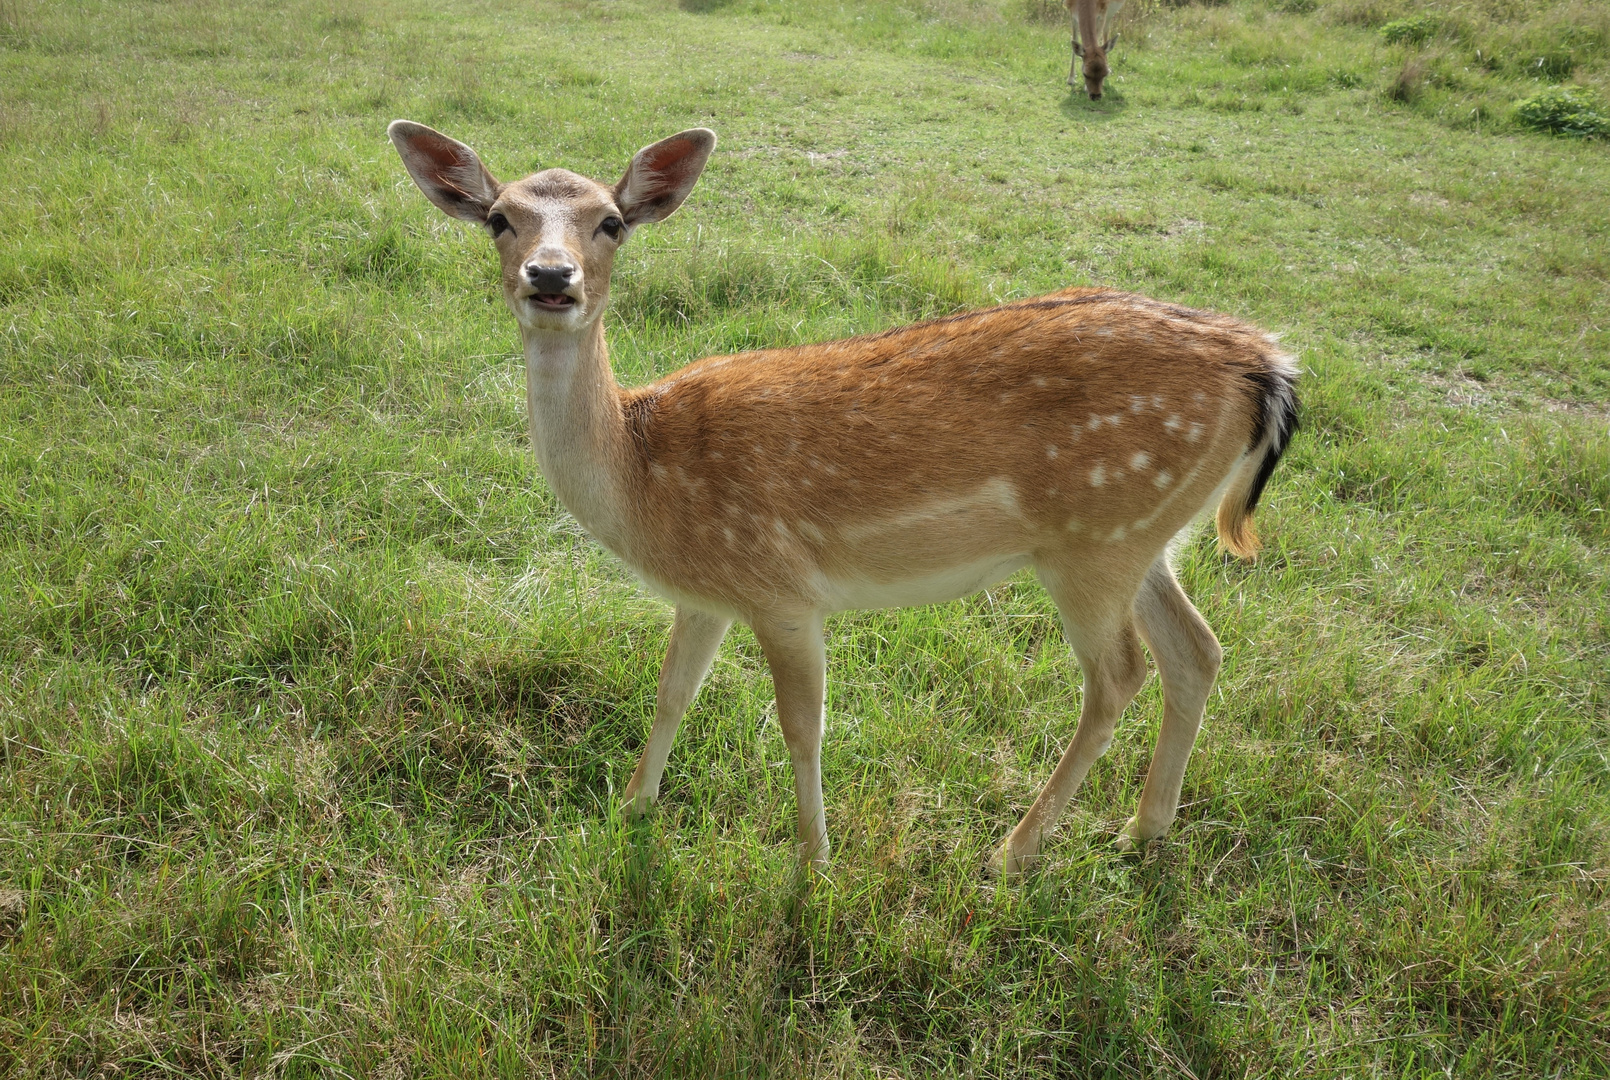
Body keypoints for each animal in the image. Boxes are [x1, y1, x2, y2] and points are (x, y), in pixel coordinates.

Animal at [386, 120, 1294, 875]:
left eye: (611, 221)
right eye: (498, 217)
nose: (550, 275)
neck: (643, 477)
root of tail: (1268, 365)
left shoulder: (780, 587)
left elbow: (803, 725)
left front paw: (812, 862)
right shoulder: (707, 593)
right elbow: (673, 689)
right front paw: (633, 809)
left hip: (1094, 539)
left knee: (1118, 678)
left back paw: (1013, 851)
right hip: (1145, 534)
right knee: (1198, 651)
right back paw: (1142, 829)